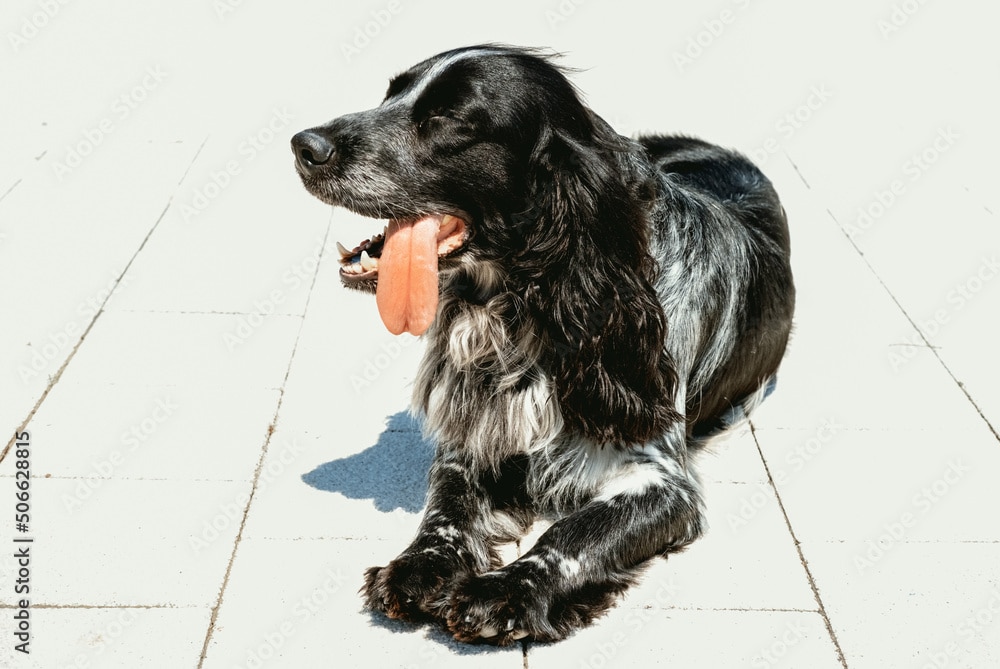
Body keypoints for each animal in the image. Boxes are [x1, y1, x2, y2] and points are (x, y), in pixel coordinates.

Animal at [292, 44, 796, 644]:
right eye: (390, 94)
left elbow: (575, 534)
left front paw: (507, 590)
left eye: (449, 117)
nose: (304, 145)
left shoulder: (661, 480)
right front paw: (421, 564)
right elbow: (447, 504)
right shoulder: (476, 435)